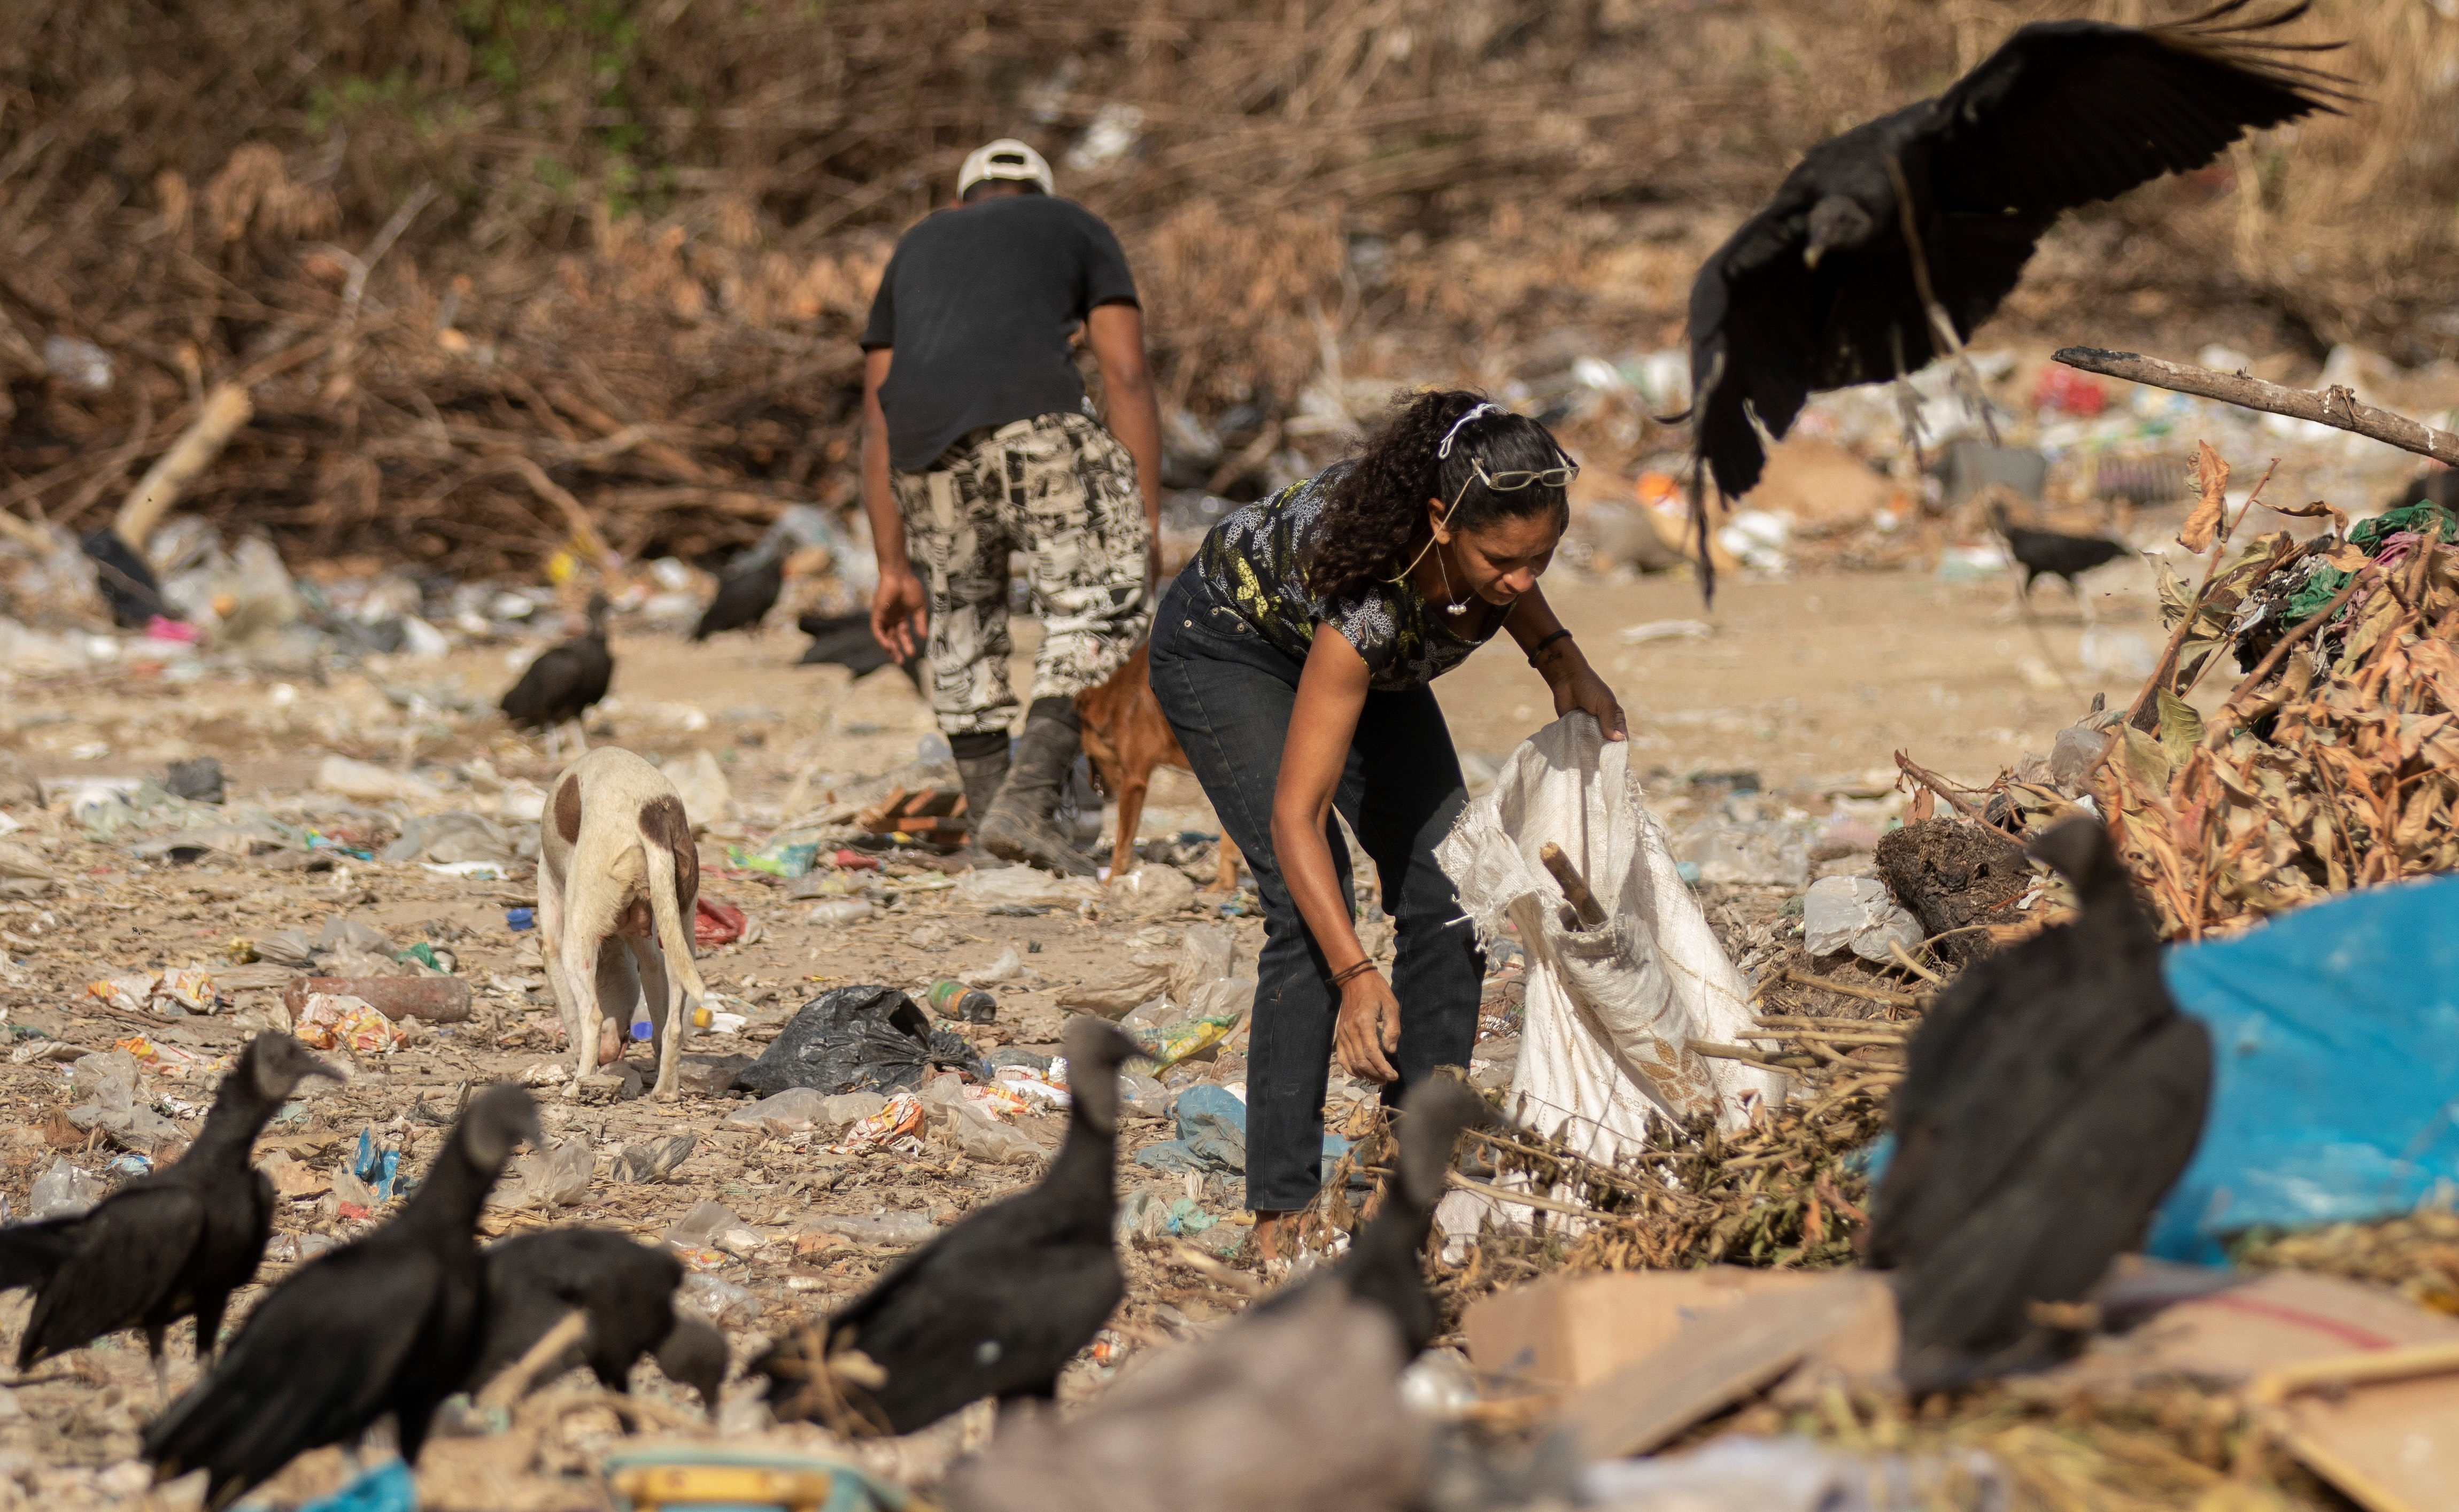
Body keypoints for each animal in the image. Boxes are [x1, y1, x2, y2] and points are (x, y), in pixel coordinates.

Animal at [531, 747, 703, 1096]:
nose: (609, 1056)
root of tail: (651, 816)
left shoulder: (553, 946)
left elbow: (574, 1019)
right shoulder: (648, 952)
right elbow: (657, 1004)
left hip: (576, 944)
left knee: (592, 1017)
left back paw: (578, 1086)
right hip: (680, 929)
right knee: (673, 1026)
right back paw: (665, 1091)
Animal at [1077, 644, 1239, 900]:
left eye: (1084, 749)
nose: (1093, 786)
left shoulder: (1134, 781)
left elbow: (1123, 843)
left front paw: (1113, 880)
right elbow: (1230, 844)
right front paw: (1225, 886)